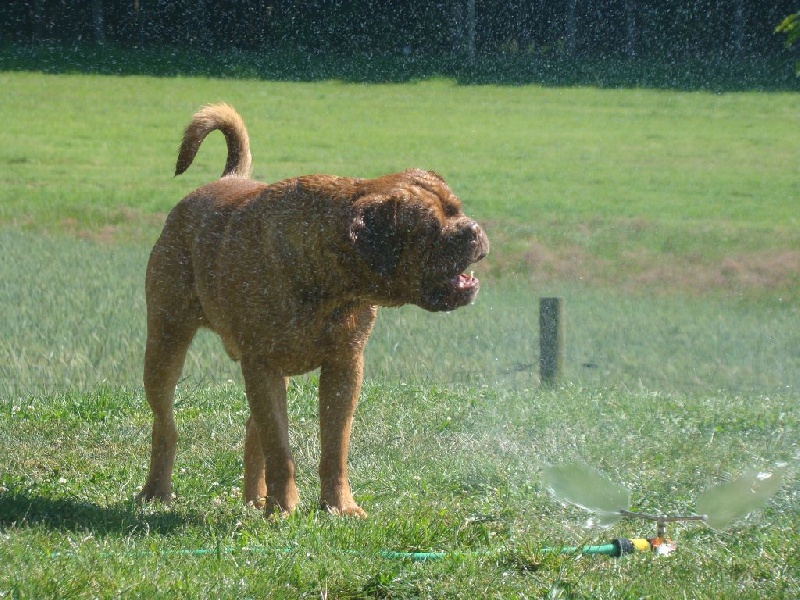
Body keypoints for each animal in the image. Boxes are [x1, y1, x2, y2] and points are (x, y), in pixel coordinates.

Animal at [138, 103, 488, 516]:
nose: (473, 229)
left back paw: (255, 499)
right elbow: (280, 448)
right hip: (166, 342)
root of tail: (223, 180)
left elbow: (334, 448)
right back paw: (157, 491)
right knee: (166, 424)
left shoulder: (344, 366)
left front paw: (339, 506)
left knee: (253, 429)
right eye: (430, 229)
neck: (330, 281)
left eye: (457, 208)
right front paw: (285, 509)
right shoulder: (262, 365)